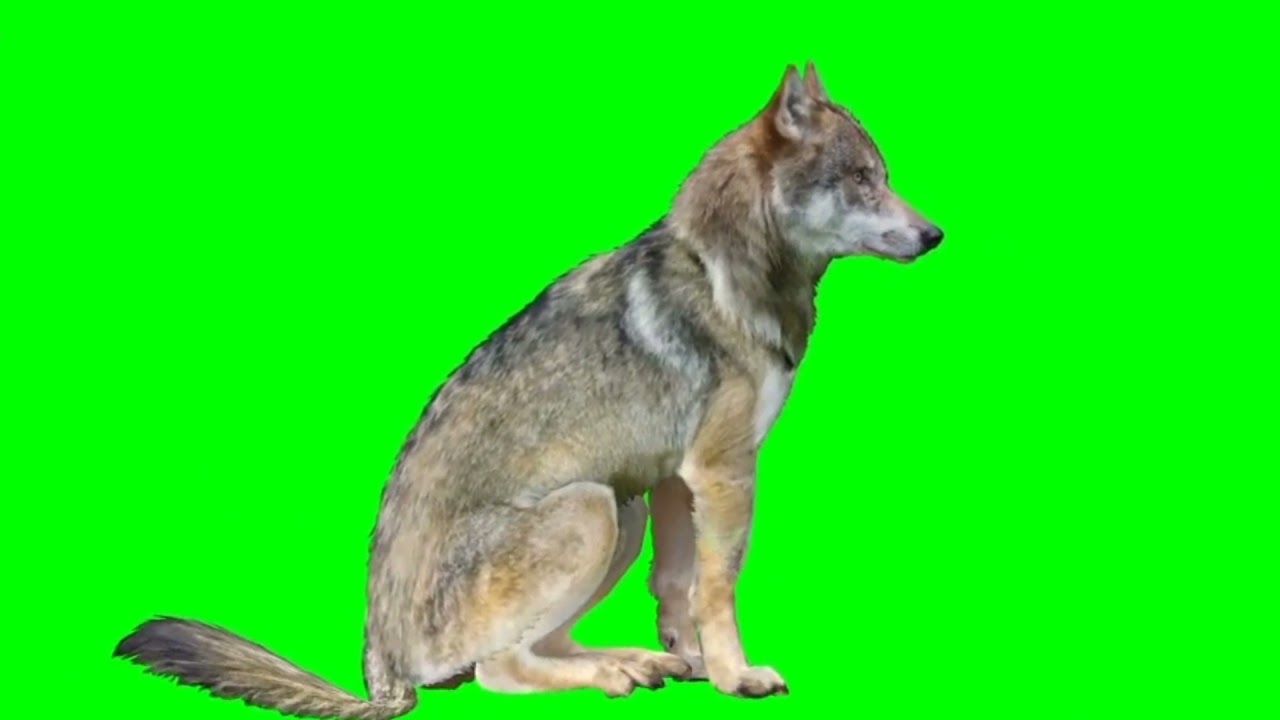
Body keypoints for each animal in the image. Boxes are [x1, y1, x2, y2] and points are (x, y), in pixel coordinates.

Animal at [114, 62, 943, 719]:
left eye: (883, 176)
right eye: (863, 179)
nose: (935, 235)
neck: (731, 270)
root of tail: (382, 669)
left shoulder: (674, 483)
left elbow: (677, 589)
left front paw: (696, 665)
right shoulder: (723, 474)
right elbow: (717, 590)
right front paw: (735, 678)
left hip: (622, 505)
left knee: (543, 646)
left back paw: (634, 661)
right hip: (592, 508)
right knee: (498, 671)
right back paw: (611, 675)